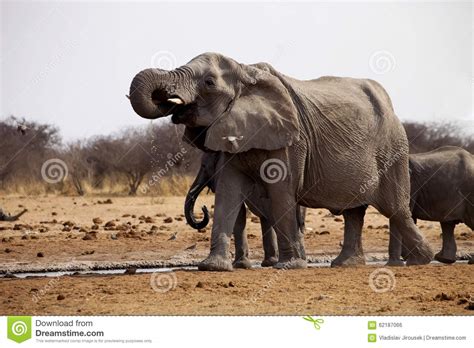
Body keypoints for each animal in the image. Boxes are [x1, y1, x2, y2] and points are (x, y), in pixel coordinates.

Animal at [129, 51, 434, 270]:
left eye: (209, 83)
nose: (171, 103)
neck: (246, 70)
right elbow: (228, 193)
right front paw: (212, 267)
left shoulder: (292, 139)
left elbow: (280, 191)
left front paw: (290, 266)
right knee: (354, 211)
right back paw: (345, 264)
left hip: (393, 150)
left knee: (394, 208)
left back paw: (422, 260)